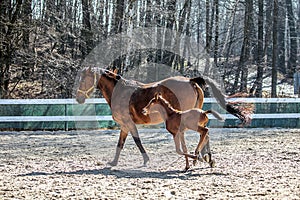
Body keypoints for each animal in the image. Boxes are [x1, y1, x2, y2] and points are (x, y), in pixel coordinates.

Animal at [76, 67, 252, 167]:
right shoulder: (124, 125)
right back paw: (206, 158)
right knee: (205, 134)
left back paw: (199, 157)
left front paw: (146, 160)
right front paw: (114, 162)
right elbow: (120, 144)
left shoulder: (128, 123)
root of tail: (191, 80)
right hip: (197, 114)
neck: (120, 91)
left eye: (84, 79)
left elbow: (136, 141)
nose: (79, 99)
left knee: (203, 133)